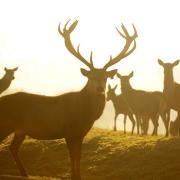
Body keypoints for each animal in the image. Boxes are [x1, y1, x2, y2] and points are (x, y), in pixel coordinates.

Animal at [0, 20, 137, 179]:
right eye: (90, 77)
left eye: (106, 77)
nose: (100, 88)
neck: (85, 114)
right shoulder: (69, 130)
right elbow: (72, 156)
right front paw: (73, 176)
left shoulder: (81, 133)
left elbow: (79, 156)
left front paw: (78, 176)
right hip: (6, 124)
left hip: (20, 130)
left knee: (13, 148)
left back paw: (24, 173)